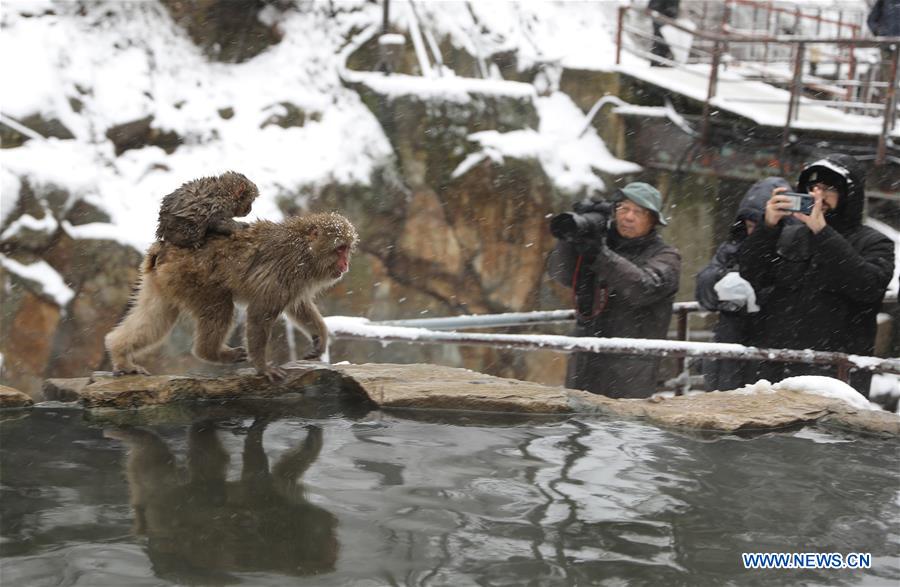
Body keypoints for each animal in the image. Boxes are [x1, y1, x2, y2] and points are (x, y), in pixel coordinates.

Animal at [106, 212, 358, 381]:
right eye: (339, 249)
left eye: (347, 249)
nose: (346, 265)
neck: (304, 251)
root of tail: (164, 248)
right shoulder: (285, 270)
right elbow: (260, 314)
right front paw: (262, 367)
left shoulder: (296, 280)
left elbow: (297, 306)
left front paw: (320, 337)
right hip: (193, 279)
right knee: (220, 308)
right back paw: (210, 352)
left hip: (165, 281)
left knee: (158, 317)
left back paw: (120, 354)